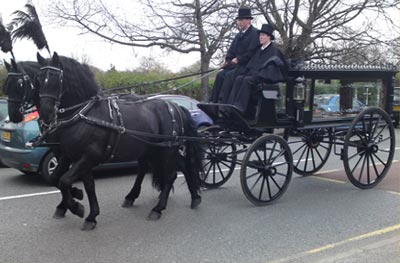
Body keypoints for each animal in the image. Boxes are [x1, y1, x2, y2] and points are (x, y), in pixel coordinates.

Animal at [35, 52, 203, 230]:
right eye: (38, 78)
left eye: (55, 78)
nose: (45, 114)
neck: (86, 114)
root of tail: (175, 106)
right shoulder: (72, 156)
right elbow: (69, 182)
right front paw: (88, 211)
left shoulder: (89, 157)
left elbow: (64, 180)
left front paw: (77, 207)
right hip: (153, 149)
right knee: (174, 168)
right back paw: (191, 197)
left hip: (167, 150)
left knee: (171, 174)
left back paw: (158, 208)